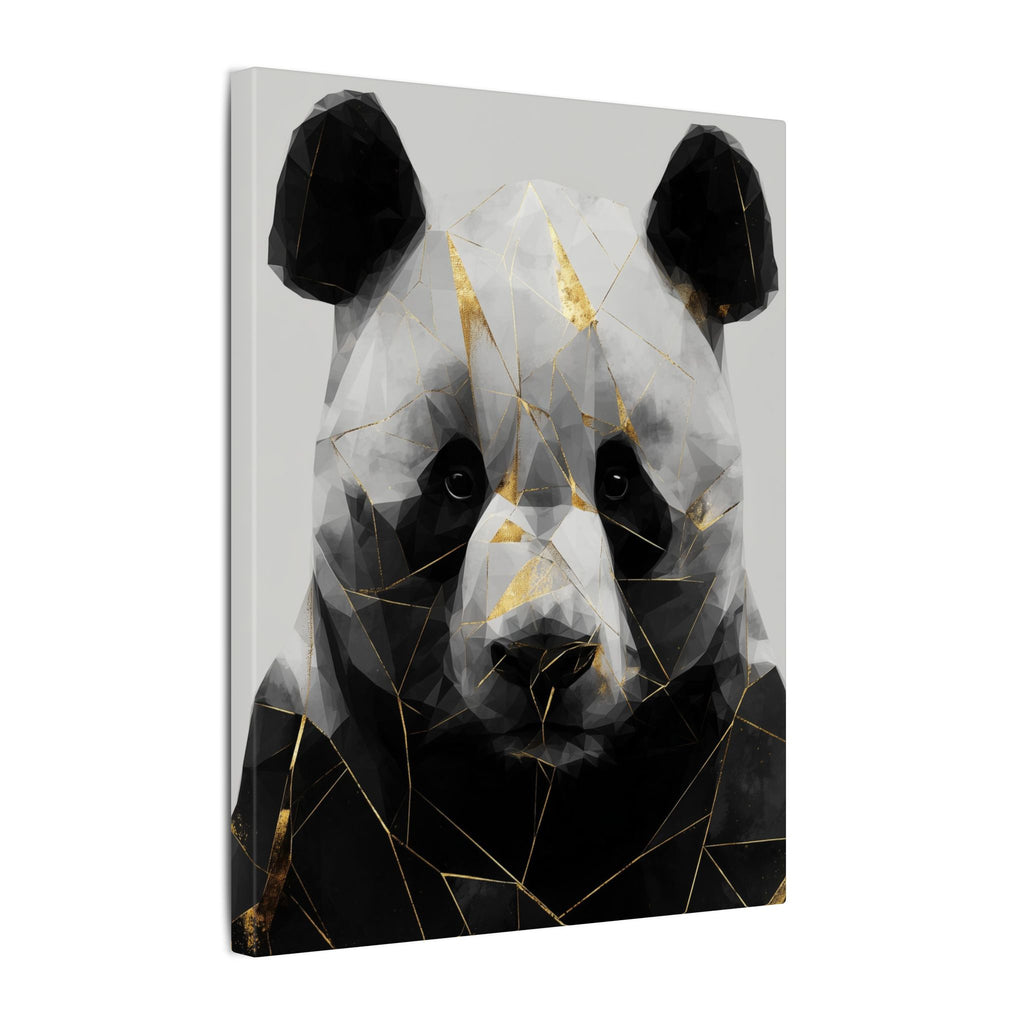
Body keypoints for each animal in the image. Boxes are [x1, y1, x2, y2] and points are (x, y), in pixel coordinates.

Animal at [231, 91, 786, 956]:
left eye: (621, 483)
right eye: (456, 481)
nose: (544, 656)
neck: (532, 812)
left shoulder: (741, 766)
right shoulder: (308, 778)